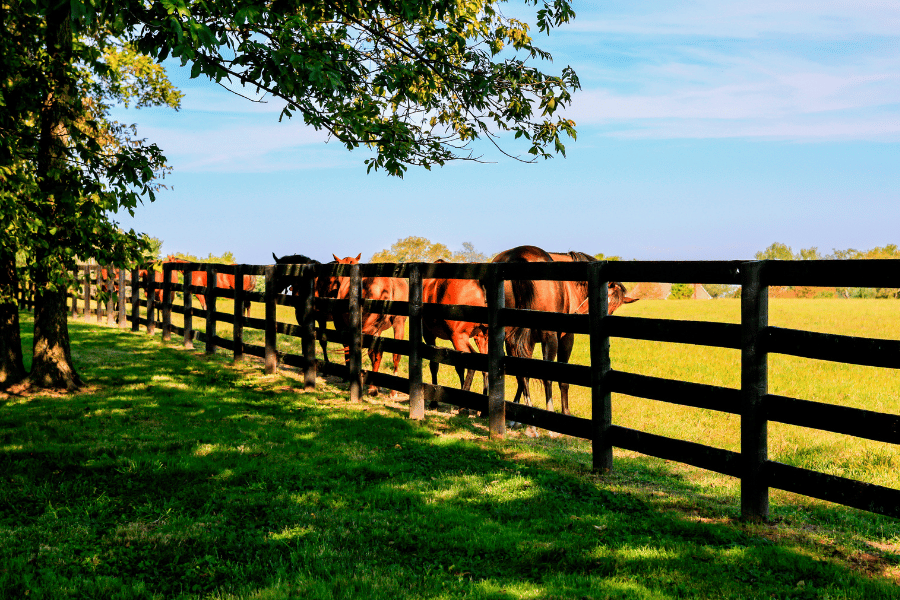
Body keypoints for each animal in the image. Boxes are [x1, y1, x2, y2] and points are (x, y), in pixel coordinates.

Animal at [492, 245, 637, 415]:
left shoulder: (528, 341)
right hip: (549, 338)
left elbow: (523, 375)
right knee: (547, 374)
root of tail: (519, 255)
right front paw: (565, 410)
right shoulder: (565, 337)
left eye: (612, 309)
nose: (579, 314)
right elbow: (562, 377)